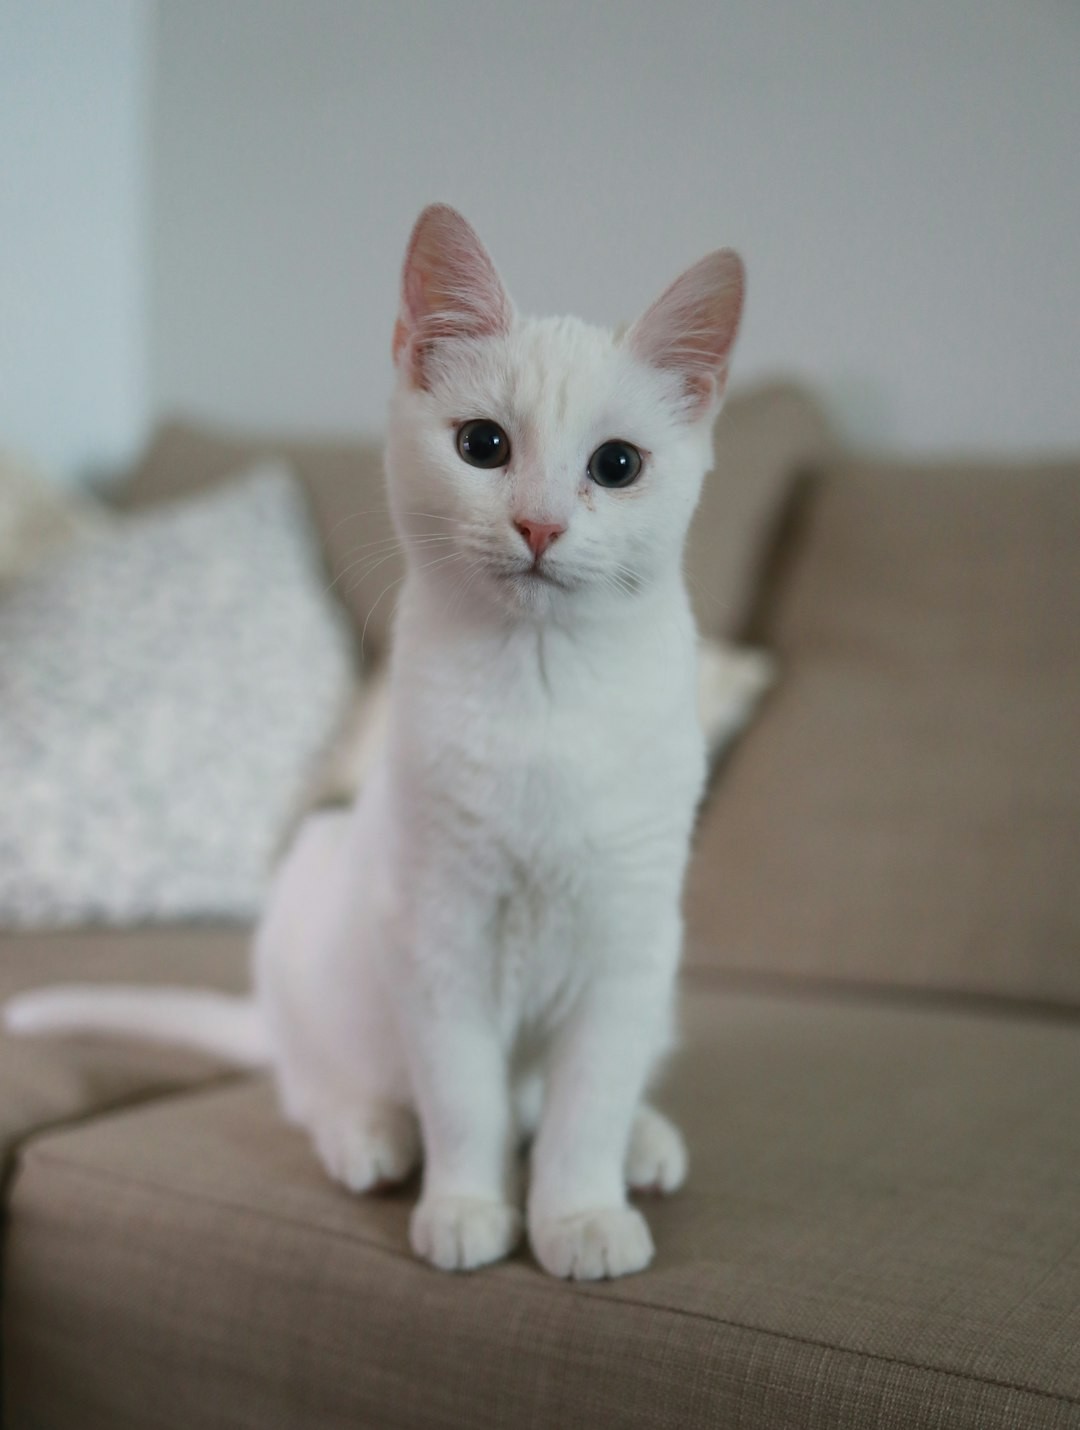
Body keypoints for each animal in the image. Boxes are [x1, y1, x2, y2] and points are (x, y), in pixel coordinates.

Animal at [2, 204, 743, 1287]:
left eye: (617, 464)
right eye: (483, 444)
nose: (539, 523)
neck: (542, 691)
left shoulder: (627, 946)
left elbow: (585, 1109)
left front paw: (579, 1213)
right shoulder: (436, 938)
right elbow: (468, 1103)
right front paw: (469, 1207)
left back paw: (645, 1141)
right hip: (310, 914)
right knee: (313, 1086)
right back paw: (370, 1133)